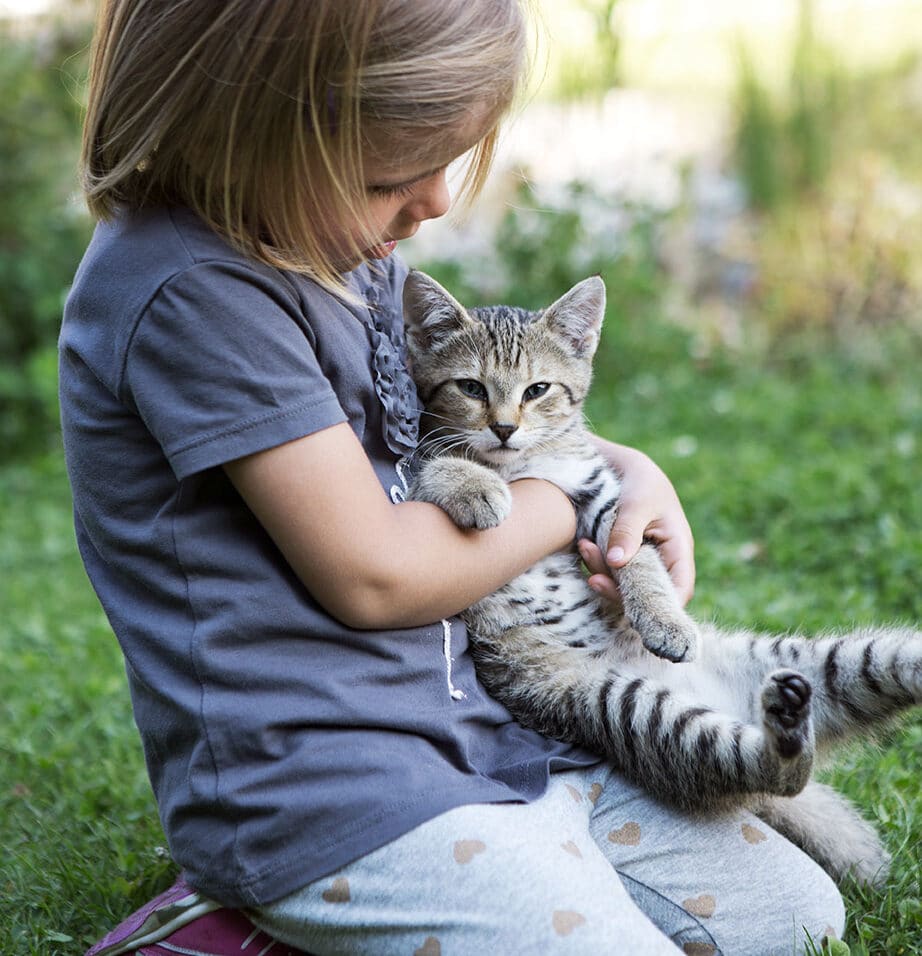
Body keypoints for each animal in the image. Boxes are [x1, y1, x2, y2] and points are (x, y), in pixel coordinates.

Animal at [402, 268, 920, 888]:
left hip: (830, 662)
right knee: (772, 772)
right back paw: (785, 734)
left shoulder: (604, 498)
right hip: (637, 711)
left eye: (537, 390)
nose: (504, 429)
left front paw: (664, 619)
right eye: (472, 388)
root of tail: (736, 706)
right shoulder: (419, 462)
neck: (520, 464)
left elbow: (639, 559)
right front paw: (475, 485)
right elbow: (433, 463)